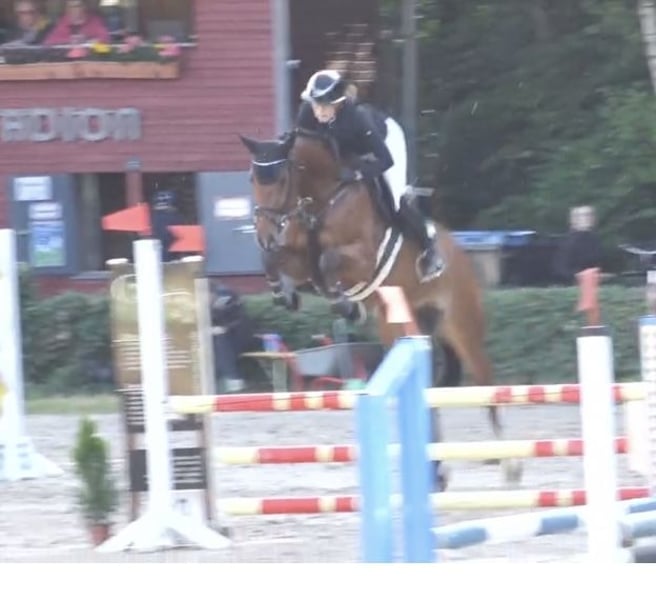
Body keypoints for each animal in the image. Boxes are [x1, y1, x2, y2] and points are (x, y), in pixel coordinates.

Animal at [239, 128, 522, 490]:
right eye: (252, 178)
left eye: (282, 179)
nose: (264, 235)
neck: (322, 199)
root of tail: (461, 255)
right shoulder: (298, 258)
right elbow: (278, 260)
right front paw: (283, 293)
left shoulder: (361, 259)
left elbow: (328, 260)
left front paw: (345, 303)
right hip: (400, 329)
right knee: (427, 393)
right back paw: (437, 473)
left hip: (462, 327)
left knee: (487, 386)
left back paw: (511, 465)